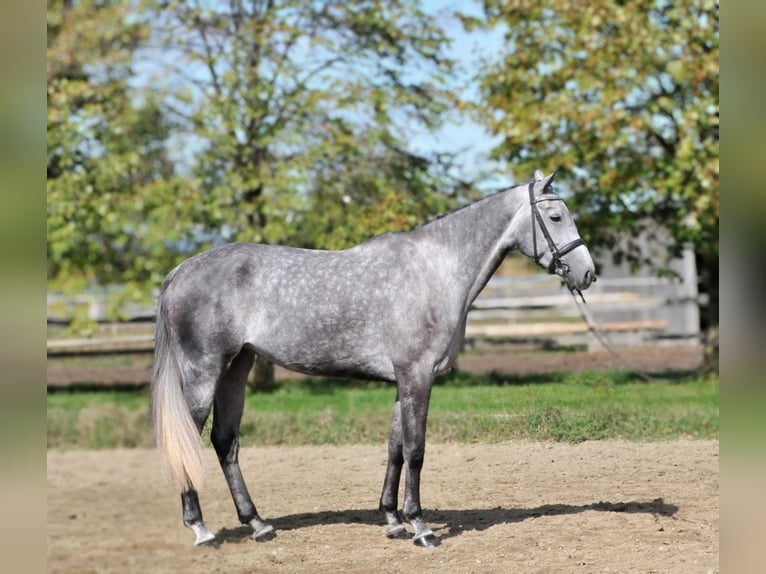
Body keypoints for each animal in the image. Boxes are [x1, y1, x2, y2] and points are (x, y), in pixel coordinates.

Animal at [152, 168, 600, 548]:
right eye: (556, 216)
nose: (588, 273)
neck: (434, 271)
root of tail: (180, 271)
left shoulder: (403, 381)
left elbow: (395, 449)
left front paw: (392, 520)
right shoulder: (417, 376)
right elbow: (416, 450)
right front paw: (421, 527)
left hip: (237, 368)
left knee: (224, 442)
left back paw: (259, 525)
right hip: (204, 372)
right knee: (188, 440)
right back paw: (202, 530)